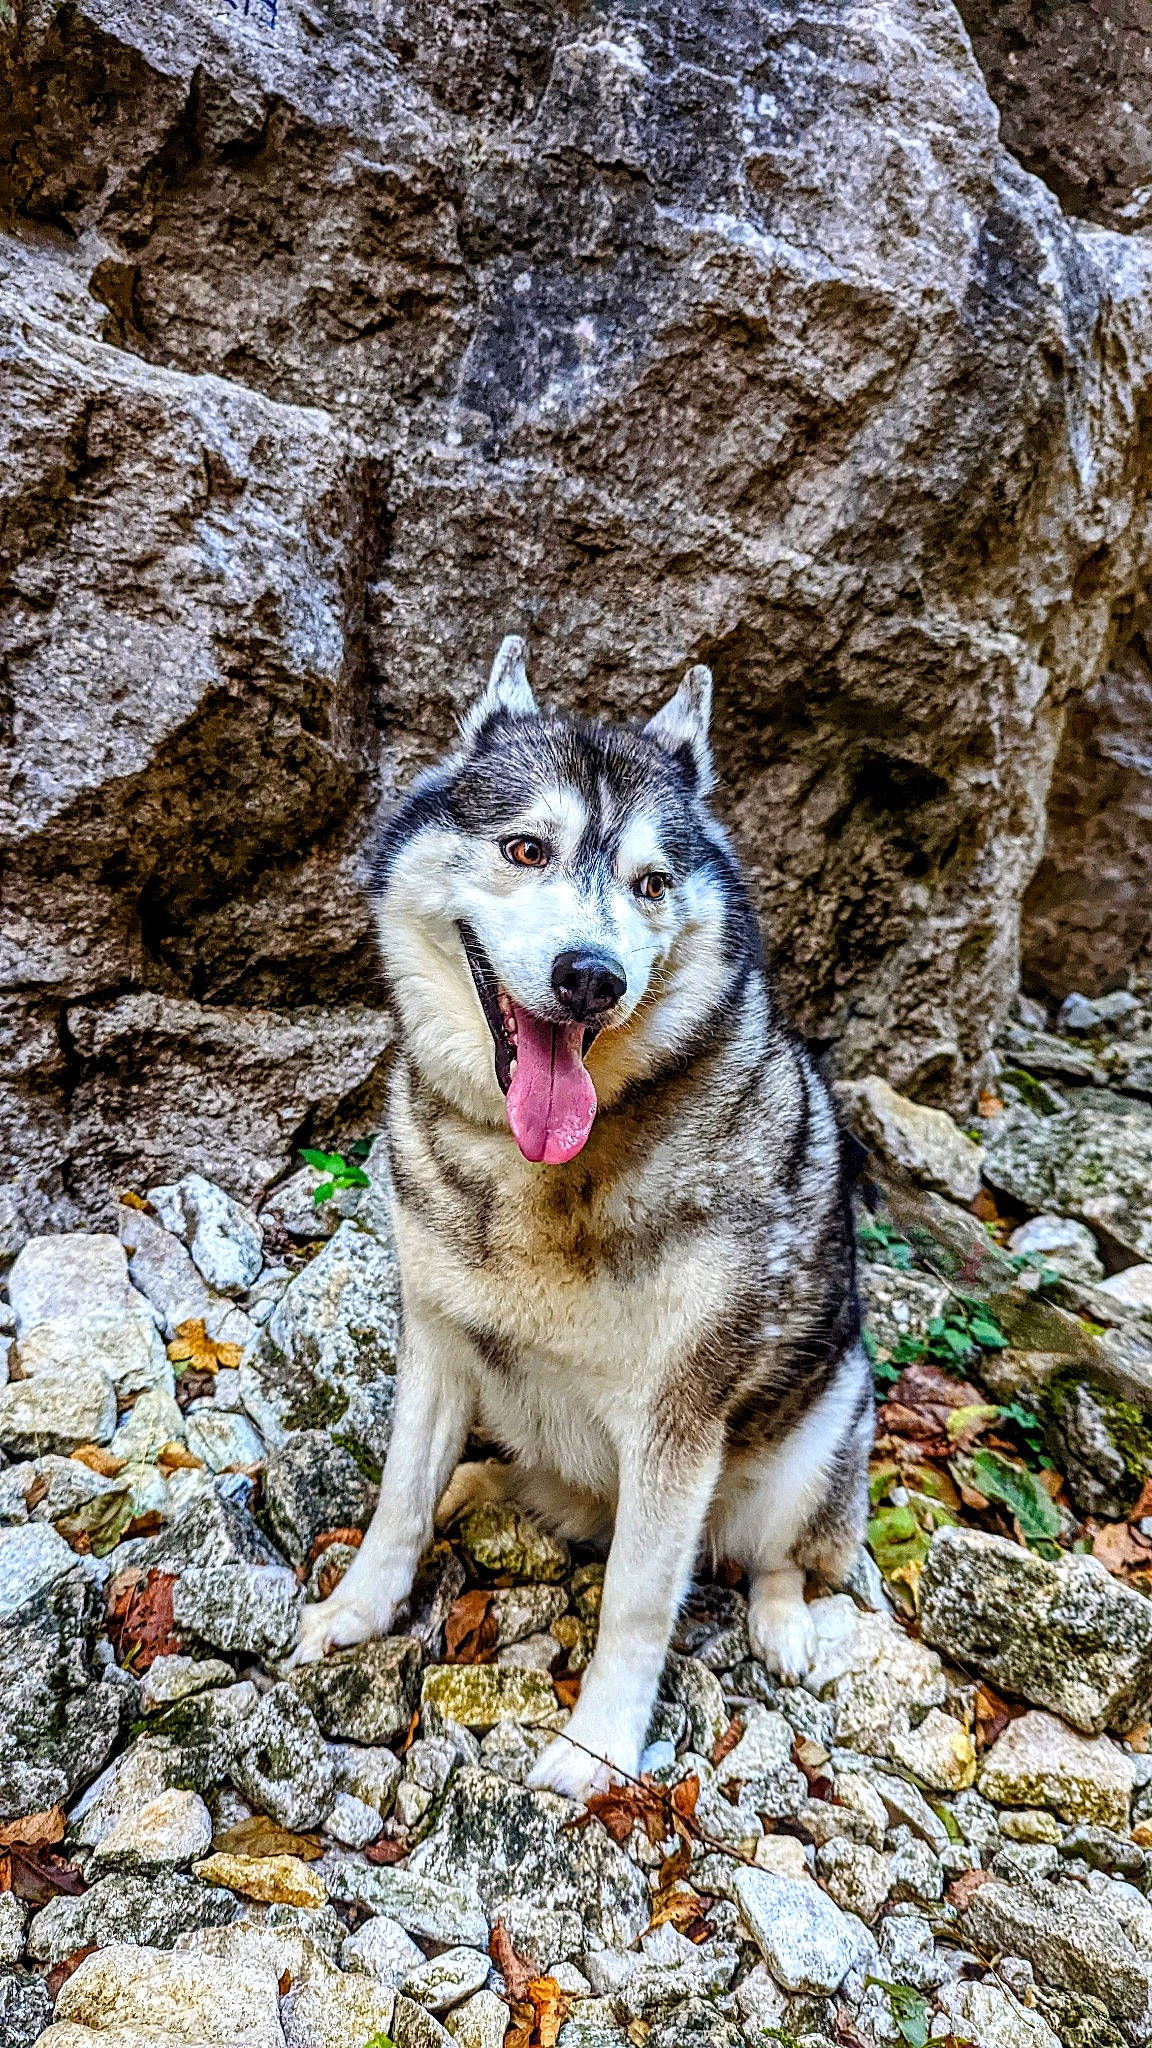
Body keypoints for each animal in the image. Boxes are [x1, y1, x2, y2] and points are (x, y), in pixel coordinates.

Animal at [290, 636, 873, 1801]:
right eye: (526, 848)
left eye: (651, 883)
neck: (541, 1172)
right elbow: (397, 1499)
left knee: (779, 1554)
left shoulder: (676, 1422)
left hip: (820, 1433)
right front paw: (359, 1609)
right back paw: (481, 1478)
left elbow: (638, 1603)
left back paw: (785, 1622)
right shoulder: (435, 1336)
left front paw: (598, 1743)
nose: (591, 976)